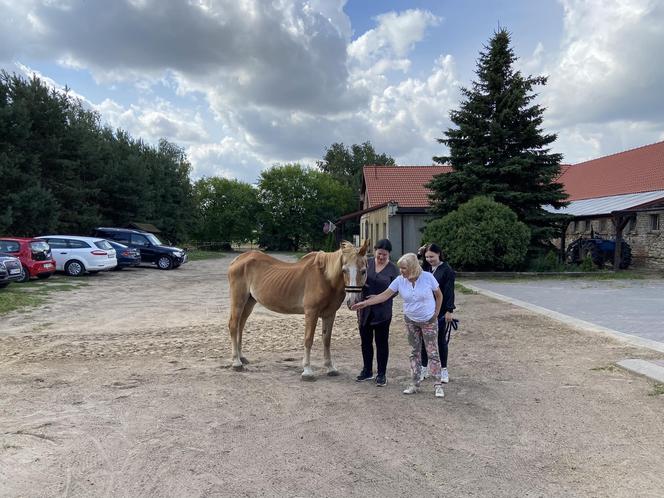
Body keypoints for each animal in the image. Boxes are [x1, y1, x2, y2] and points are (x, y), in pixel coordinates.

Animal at [228, 239, 368, 380]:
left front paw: (330, 367)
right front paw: (307, 370)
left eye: (363, 271)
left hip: (249, 302)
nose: (353, 302)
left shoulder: (330, 314)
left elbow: (327, 340)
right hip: (238, 301)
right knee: (234, 325)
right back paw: (236, 362)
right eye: (344, 270)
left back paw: (241, 357)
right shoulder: (311, 313)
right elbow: (308, 340)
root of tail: (239, 259)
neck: (325, 278)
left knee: (241, 326)